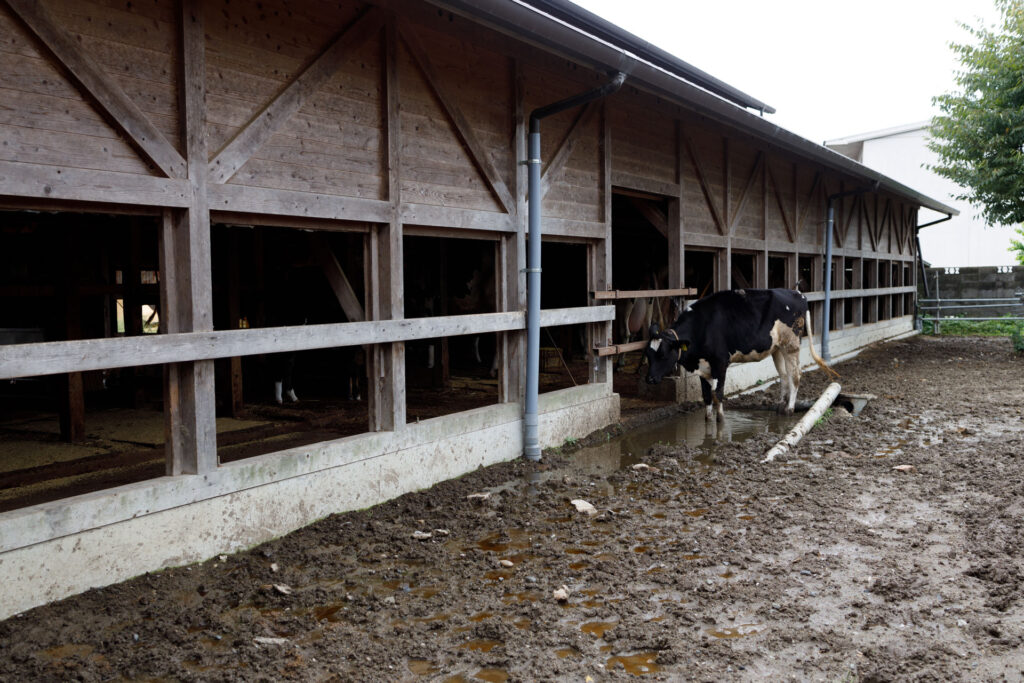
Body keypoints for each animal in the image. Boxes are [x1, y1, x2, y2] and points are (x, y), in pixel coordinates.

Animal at [643, 288, 835, 421]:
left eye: (663, 355)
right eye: (648, 356)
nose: (649, 379)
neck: (702, 326)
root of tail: (798, 293)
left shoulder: (720, 362)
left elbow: (718, 394)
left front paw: (720, 422)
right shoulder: (703, 366)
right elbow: (706, 396)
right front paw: (708, 420)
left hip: (791, 345)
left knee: (795, 376)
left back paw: (789, 409)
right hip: (778, 348)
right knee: (784, 376)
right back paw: (780, 406)